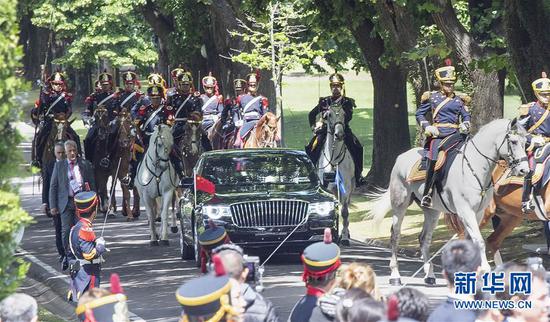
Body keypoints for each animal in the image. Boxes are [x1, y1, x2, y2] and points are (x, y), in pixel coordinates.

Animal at [320, 103, 358, 247]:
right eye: (329, 115)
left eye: (344, 114)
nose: (339, 134)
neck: (334, 160)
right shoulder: (329, 188)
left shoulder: (345, 188)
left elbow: (344, 212)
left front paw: (345, 237)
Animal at [368, 119, 532, 286]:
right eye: (513, 141)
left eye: (526, 142)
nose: (525, 171)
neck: (476, 167)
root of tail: (401, 157)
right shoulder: (466, 211)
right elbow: (478, 240)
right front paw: (485, 270)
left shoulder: (478, 213)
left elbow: (469, 242)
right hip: (400, 204)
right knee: (395, 236)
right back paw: (395, 275)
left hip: (432, 211)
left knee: (424, 238)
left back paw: (429, 275)